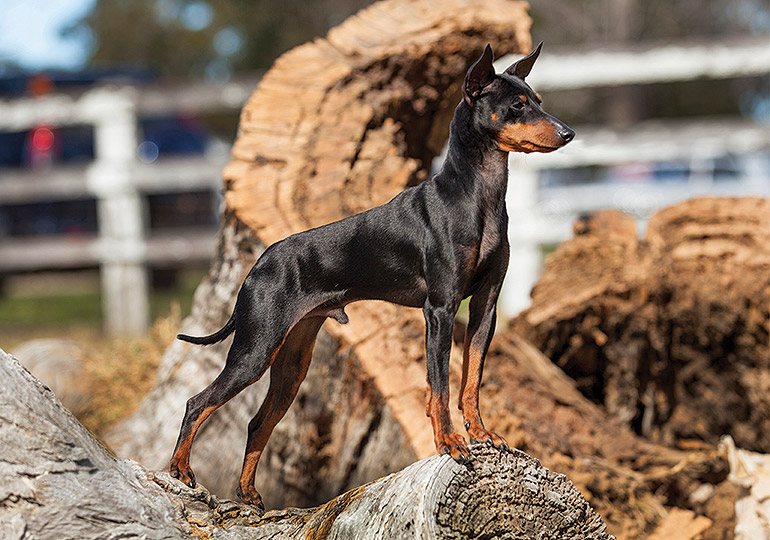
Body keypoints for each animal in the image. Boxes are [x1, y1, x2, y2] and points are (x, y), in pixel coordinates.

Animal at [171, 43, 572, 510]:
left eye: (538, 100)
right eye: (517, 105)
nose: (568, 134)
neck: (479, 196)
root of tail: (259, 264)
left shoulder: (485, 308)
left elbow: (471, 380)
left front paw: (481, 433)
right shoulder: (440, 310)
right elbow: (439, 386)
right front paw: (450, 443)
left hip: (292, 362)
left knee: (258, 422)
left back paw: (249, 495)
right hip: (256, 349)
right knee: (196, 403)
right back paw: (181, 470)